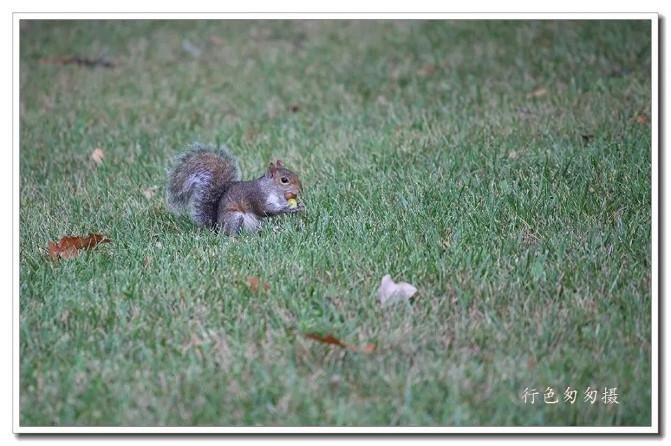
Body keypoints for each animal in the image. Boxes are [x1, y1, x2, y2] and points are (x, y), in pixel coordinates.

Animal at [167, 143, 306, 235]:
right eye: (284, 180)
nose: (300, 190)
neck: (272, 190)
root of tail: (217, 228)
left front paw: (298, 205)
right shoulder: (257, 197)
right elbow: (265, 210)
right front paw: (287, 208)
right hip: (235, 217)